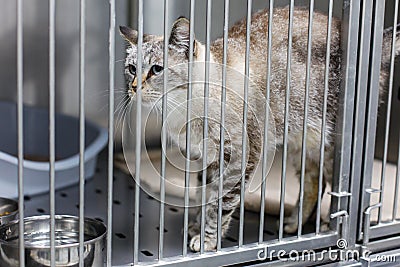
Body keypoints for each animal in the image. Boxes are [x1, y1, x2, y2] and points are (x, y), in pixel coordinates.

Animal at [119, 6, 400, 253]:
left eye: (157, 69)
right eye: (131, 69)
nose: (133, 88)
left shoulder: (240, 158)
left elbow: (219, 206)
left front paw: (207, 240)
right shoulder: (206, 159)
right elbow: (204, 197)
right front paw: (196, 227)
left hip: (330, 147)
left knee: (338, 190)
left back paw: (326, 226)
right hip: (301, 143)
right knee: (314, 182)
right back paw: (294, 225)